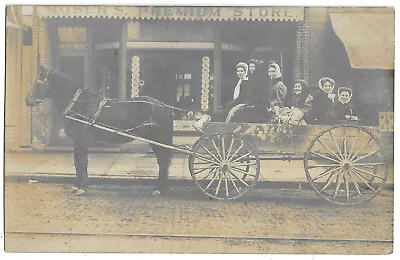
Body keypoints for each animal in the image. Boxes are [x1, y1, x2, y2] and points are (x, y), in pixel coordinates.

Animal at [25, 66, 173, 196]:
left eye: (38, 82)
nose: (27, 100)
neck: (79, 104)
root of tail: (164, 106)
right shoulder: (76, 141)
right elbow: (77, 163)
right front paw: (76, 186)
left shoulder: (81, 140)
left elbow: (82, 163)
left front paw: (82, 188)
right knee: (163, 161)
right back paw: (161, 188)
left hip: (157, 139)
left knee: (163, 161)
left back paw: (159, 189)